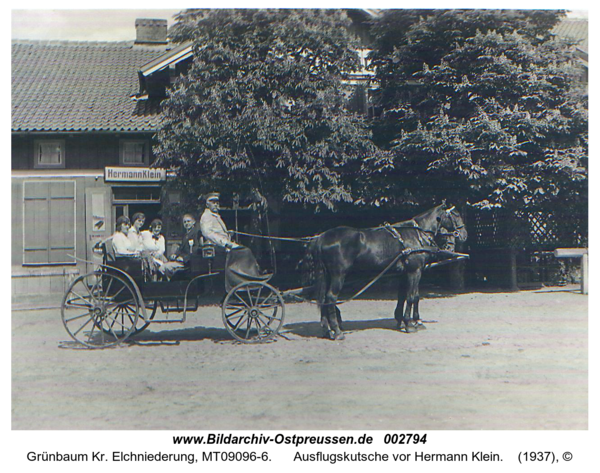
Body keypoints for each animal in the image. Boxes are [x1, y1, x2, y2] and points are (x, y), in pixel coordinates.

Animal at [304, 202, 468, 340]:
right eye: (456, 214)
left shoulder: (404, 273)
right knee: (331, 298)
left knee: (324, 299)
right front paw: (411, 324)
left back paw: (328, 330)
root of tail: (322, 237)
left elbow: (403, 296)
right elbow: (413, 296)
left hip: (327, 276)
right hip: (338, 276)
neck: (417, 235)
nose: (464, 234)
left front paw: (403, 320)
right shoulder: (415, 271)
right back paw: (337, 331)